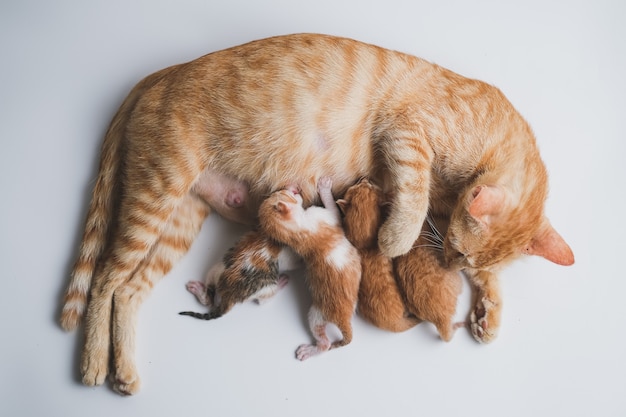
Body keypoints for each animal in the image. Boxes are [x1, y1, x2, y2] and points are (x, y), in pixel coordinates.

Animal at [256, 177, 358, 360]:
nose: (291, 187)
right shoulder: (325, 216)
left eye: (277, 192)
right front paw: (324, 187)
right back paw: (311, 350)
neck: (296, 231)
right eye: (285, 193)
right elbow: (333, 207)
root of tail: (343, 319)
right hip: (316, 315)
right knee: (325, 344)